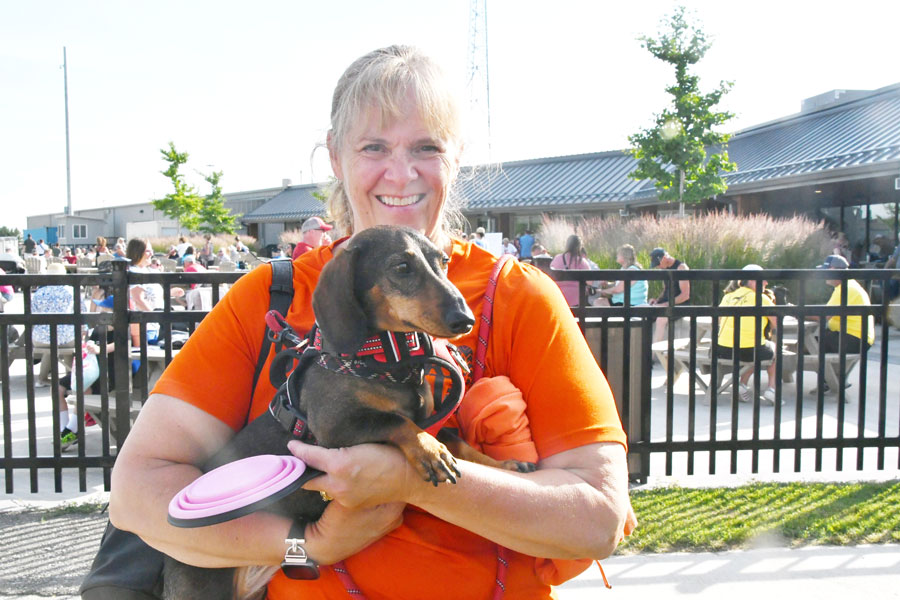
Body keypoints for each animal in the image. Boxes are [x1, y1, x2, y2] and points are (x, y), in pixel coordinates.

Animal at [163, 225, 536, 599]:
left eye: (443, 261)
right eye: (401, 267)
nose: (465, 320)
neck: (387, 364)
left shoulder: (433, 420)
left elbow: (462, 444)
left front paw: (505, 466)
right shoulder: (335, 428)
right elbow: (397, 420)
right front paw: (430, 452)